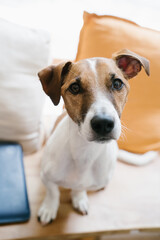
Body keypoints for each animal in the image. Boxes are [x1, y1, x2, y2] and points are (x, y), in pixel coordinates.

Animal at [36, 48, 158, 225]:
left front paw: (79, 198)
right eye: (75, 87)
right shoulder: (46, 176)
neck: (85, 152)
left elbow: (80, 188)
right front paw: (49, 208)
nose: (103, 123)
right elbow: (53, 192)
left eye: (117, 83)